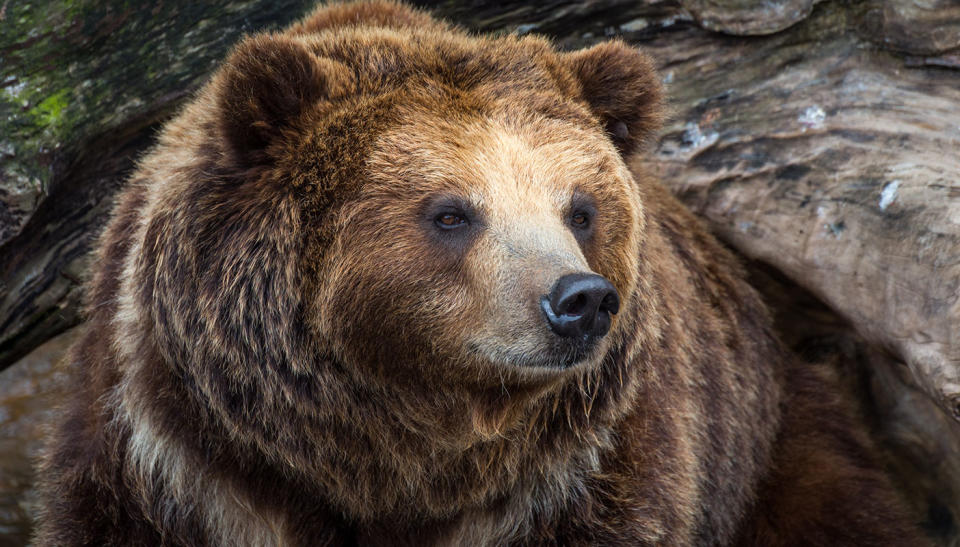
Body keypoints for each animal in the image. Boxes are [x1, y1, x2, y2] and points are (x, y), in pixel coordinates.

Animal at [33, 2, 928, 544]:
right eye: (451, 212)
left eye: (580, 209)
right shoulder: (172, 455)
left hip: (773, 434)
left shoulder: (590, 471)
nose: (580, 300)